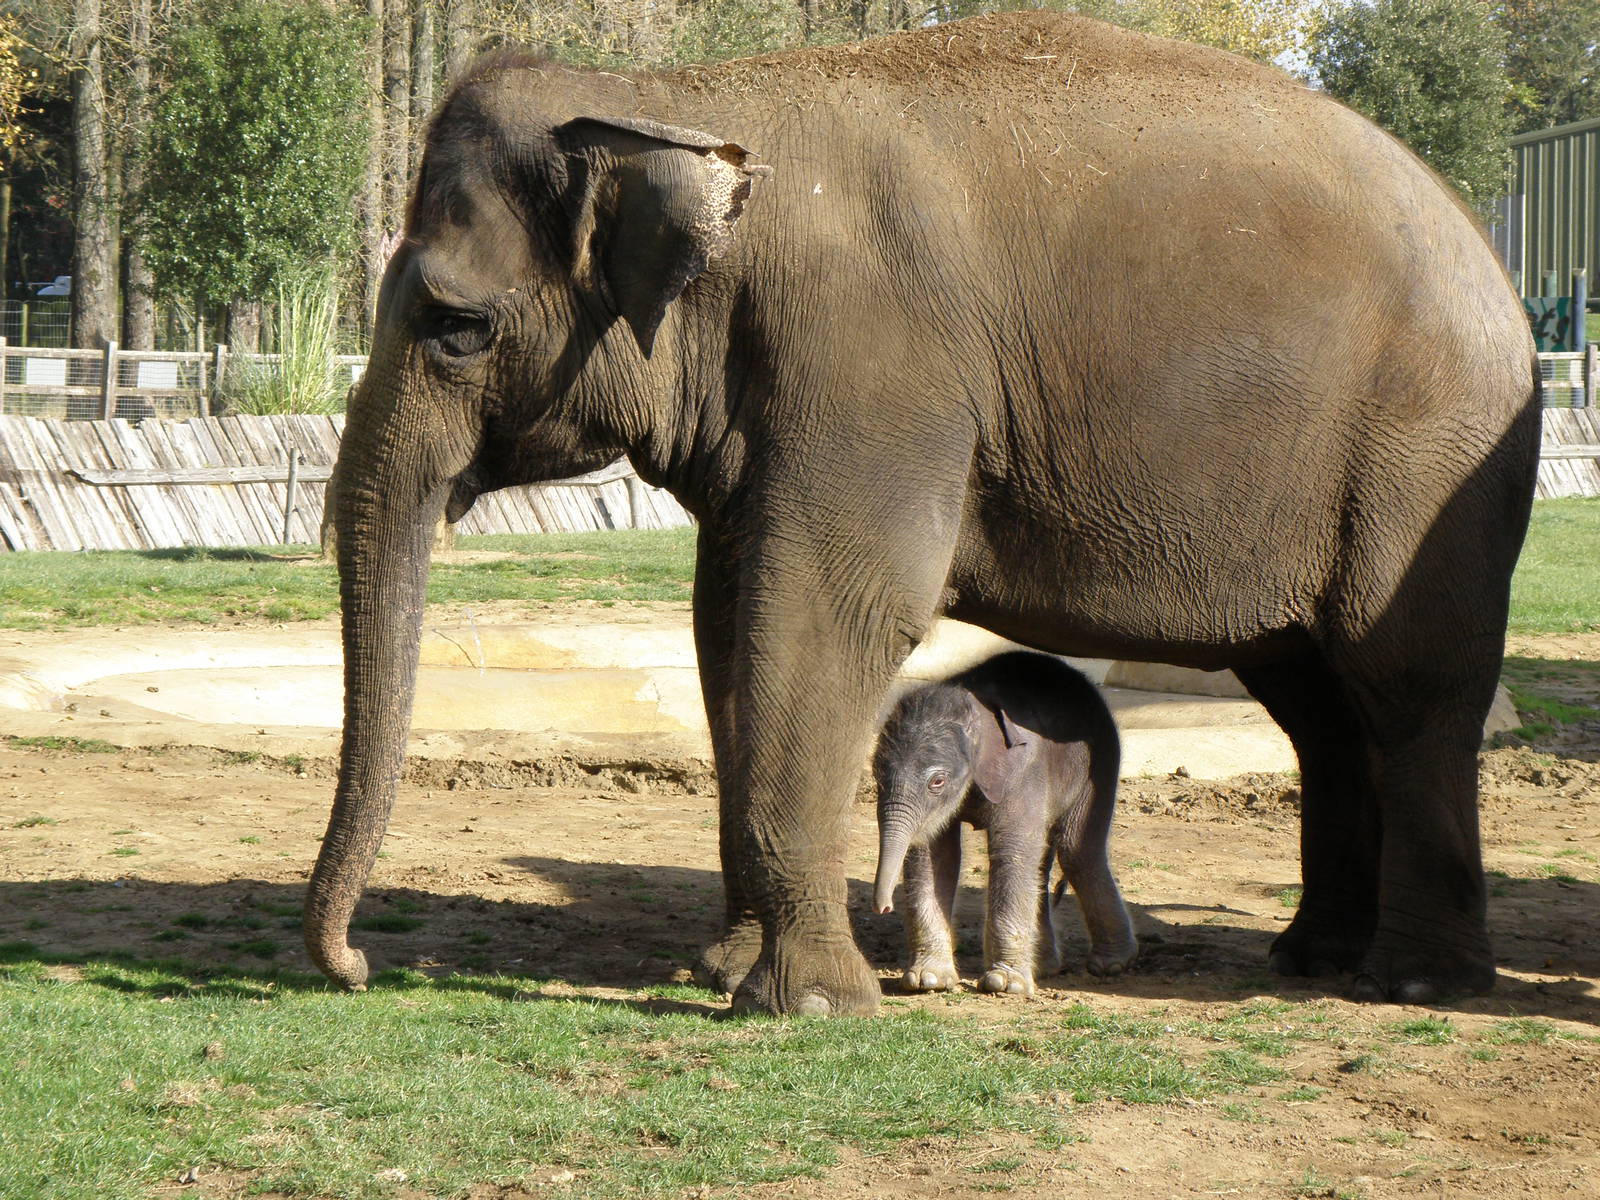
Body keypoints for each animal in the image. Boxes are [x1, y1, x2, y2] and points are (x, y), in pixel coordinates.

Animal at [873, 652, 1137, 996]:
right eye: (877, 776)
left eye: (937, 781)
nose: (884, 908)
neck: (973, 705)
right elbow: (934, 855)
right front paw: (927, 981)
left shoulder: (1024, 772)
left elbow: (1011, 853)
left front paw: (1003, 984)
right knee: (1045, 862)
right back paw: (1045, 967)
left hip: (1101, 757)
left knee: (1078, 852)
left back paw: (1111, 965)